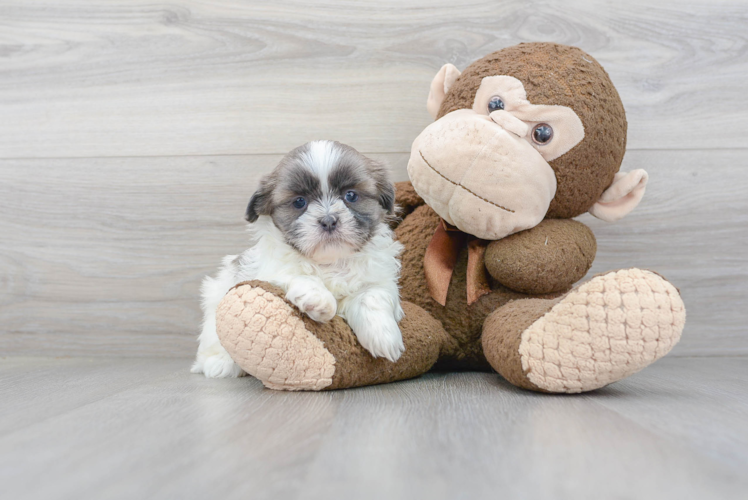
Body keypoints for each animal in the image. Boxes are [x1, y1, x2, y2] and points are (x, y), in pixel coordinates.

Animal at [190, 139, 406, 376]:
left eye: (350, 196)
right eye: (300, 202)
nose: (329, 220)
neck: (329, 262)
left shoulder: (379, 279)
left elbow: (372, 296)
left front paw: (383, 337)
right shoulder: (268, 271)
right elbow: (296, 273)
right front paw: (318, 299)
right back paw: (220, 363)